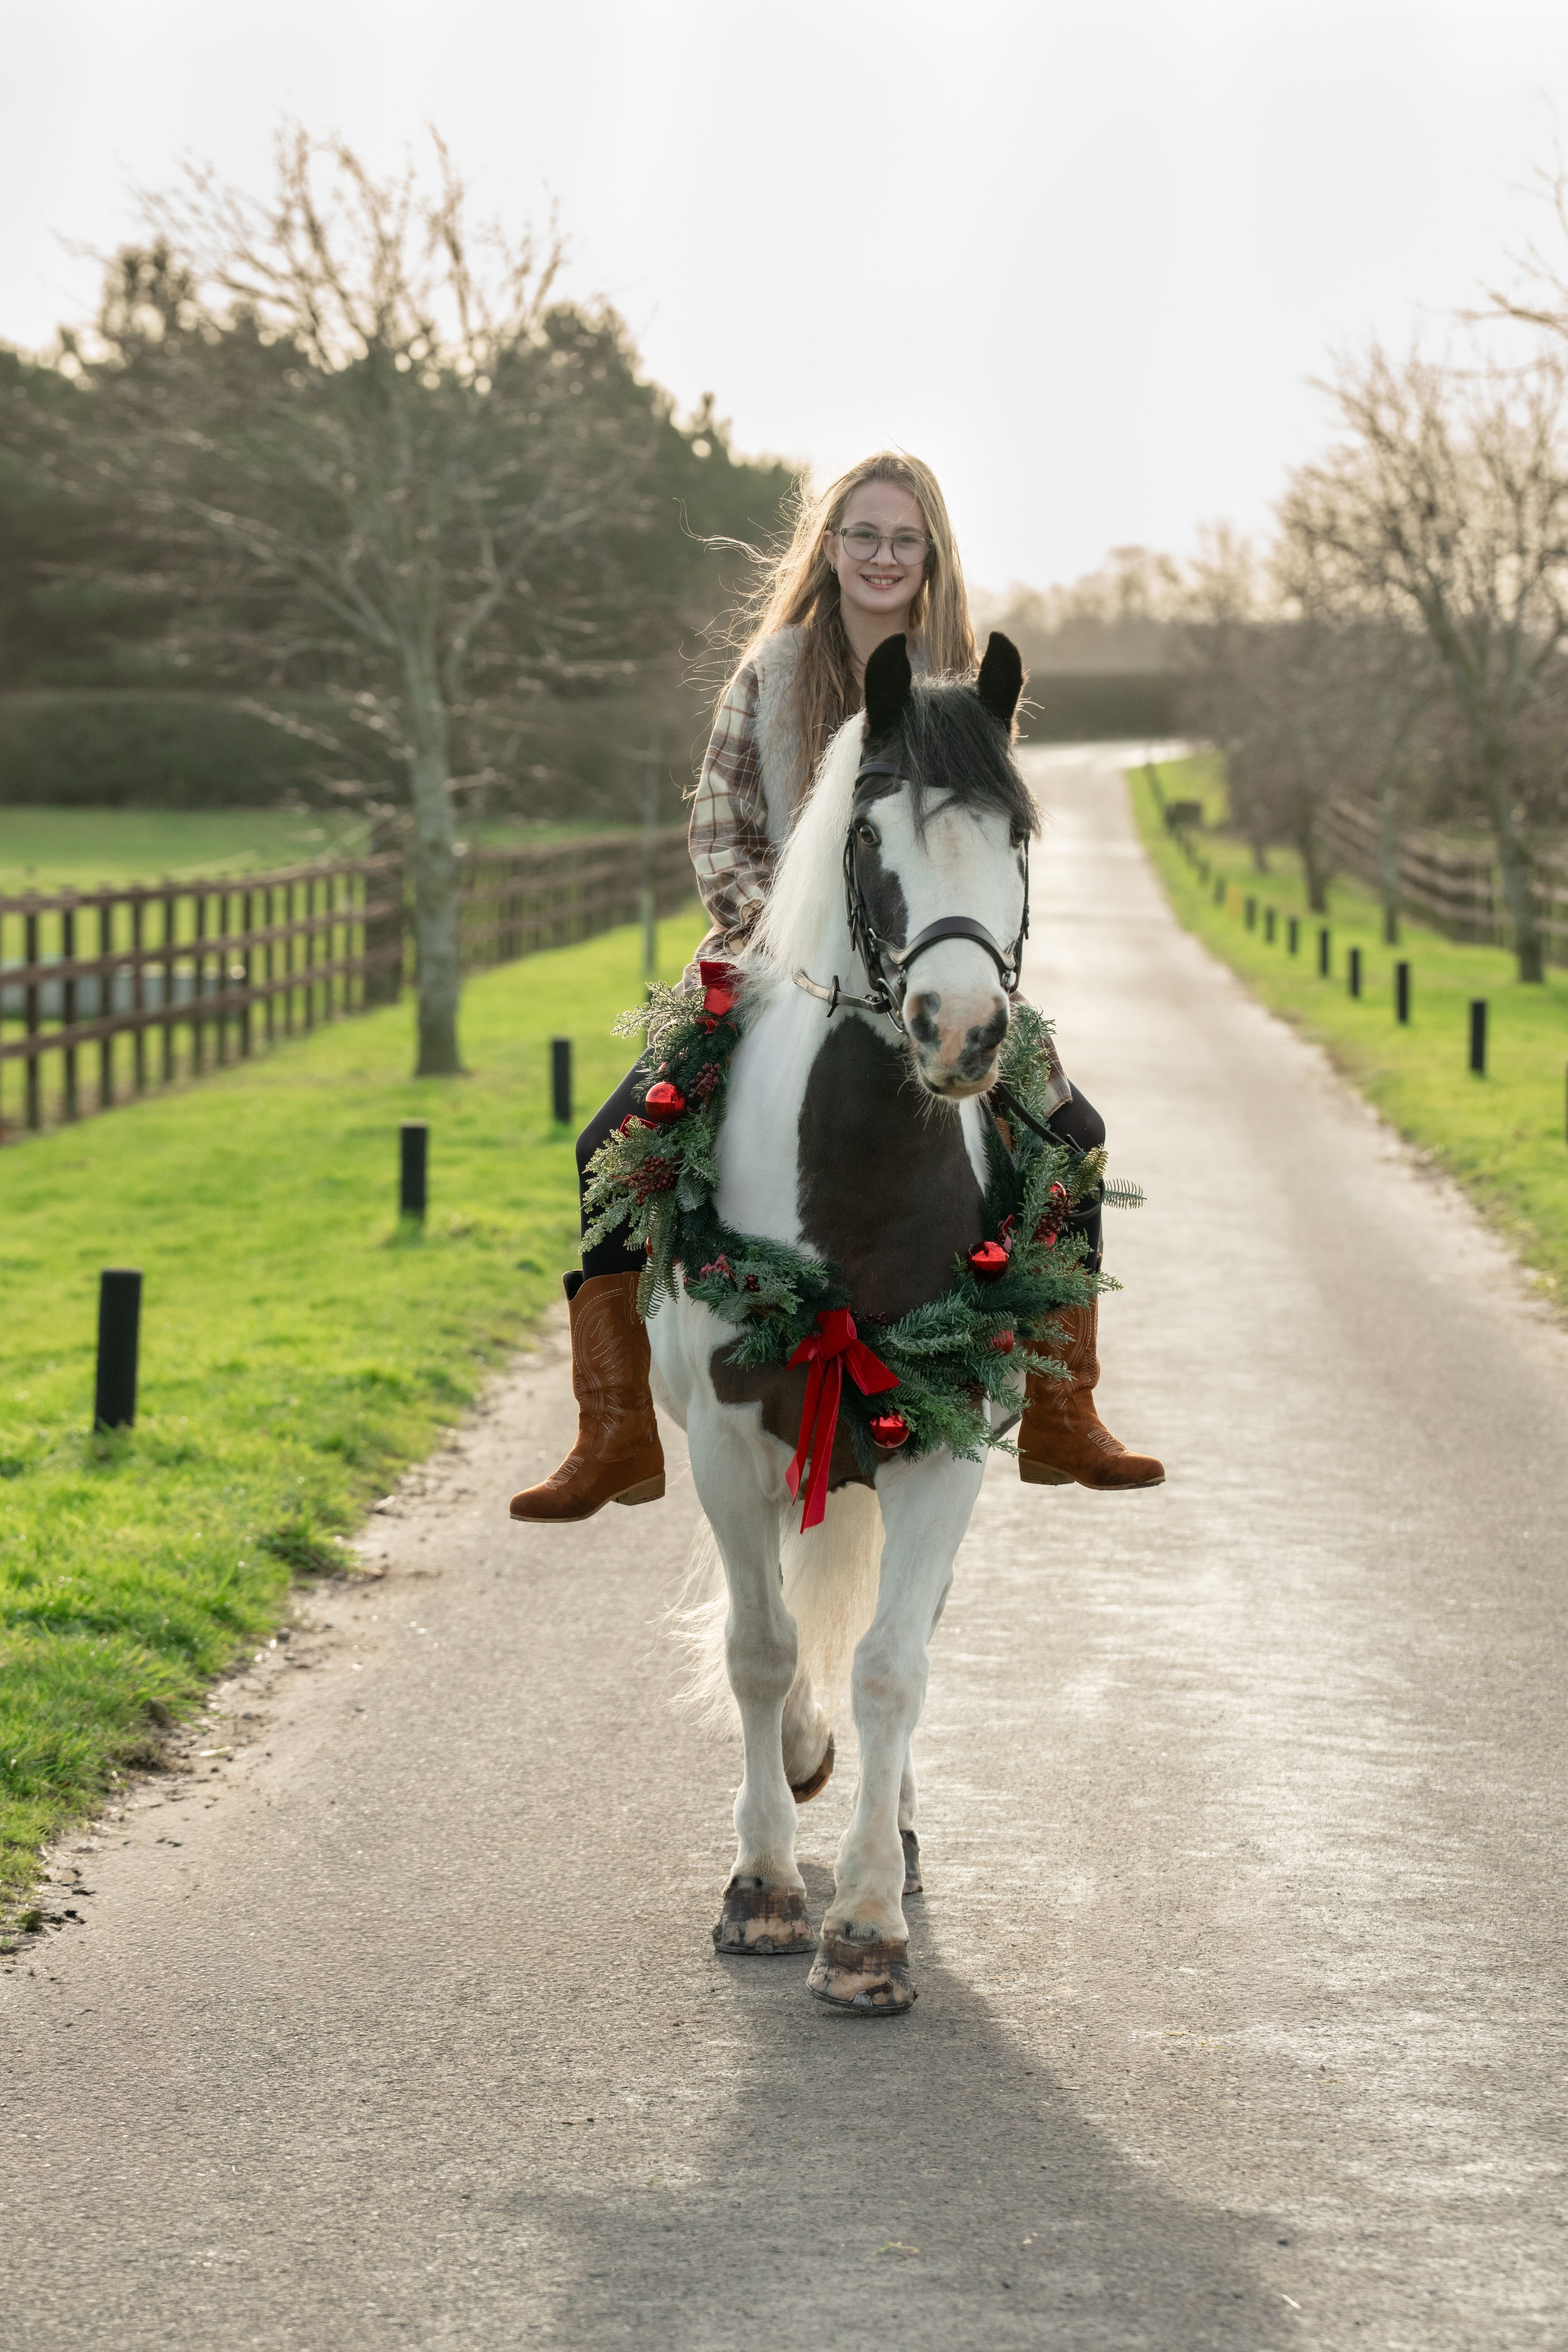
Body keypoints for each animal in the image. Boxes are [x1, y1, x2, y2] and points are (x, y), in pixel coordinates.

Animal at [647, 629, 1043, 2016]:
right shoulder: (727, 1444)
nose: (961, 1031)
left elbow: (890, 1663)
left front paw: (867, 1927)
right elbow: (762, 1649)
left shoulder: (946, 1447)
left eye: (1017, 833)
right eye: (869, 837)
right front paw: (763, 1887)